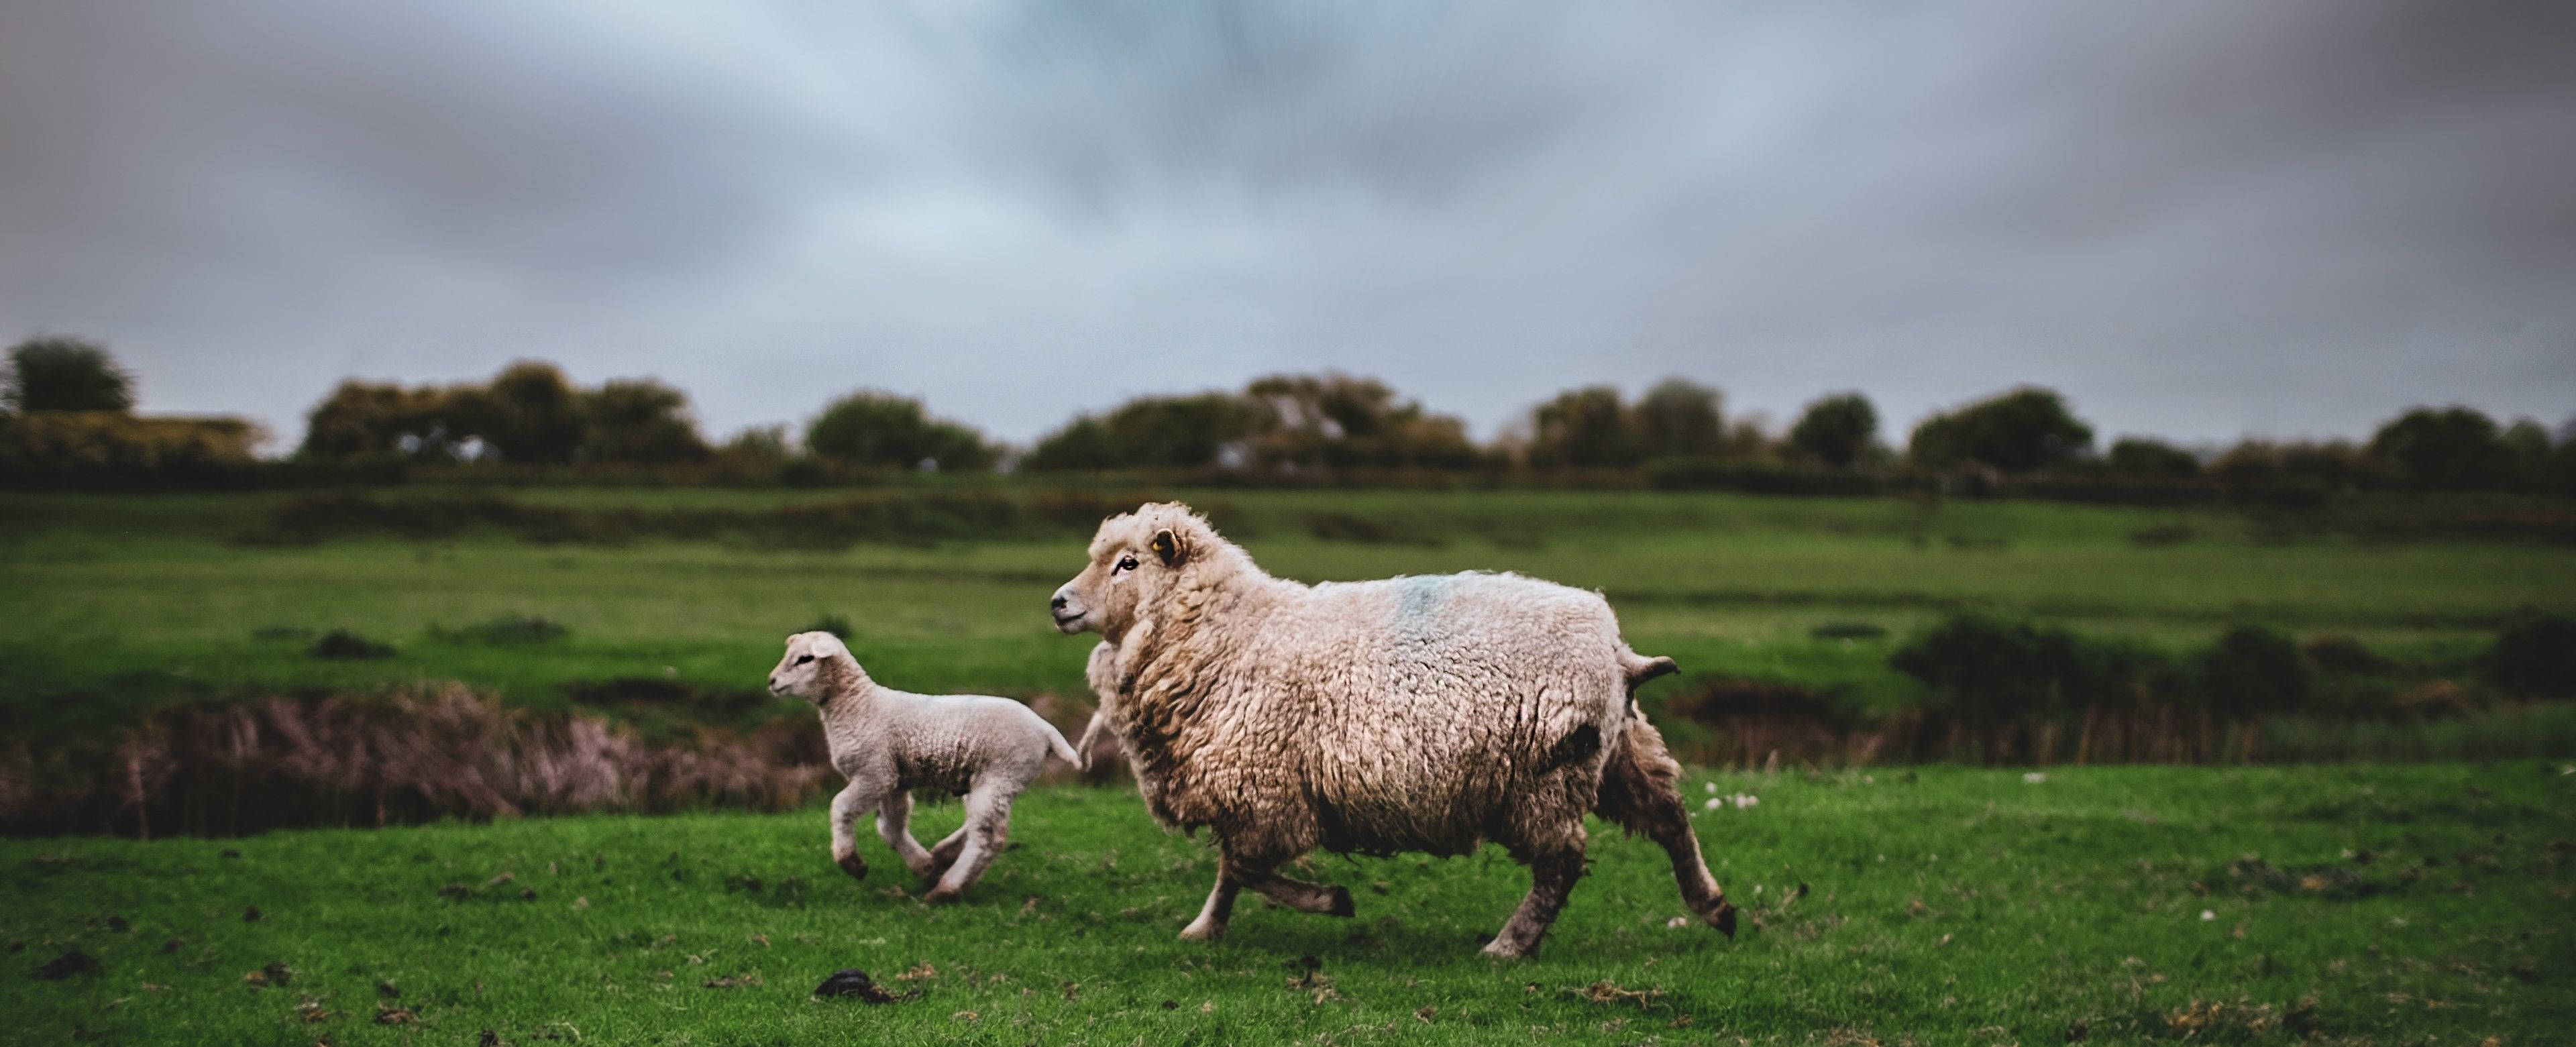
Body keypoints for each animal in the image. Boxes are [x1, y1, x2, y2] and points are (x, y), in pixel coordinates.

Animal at [765, 631, 1081, 902]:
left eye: (805, 659)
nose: (772, 681)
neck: (858, 705)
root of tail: (1046, 729)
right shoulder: (894, 779)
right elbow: (891, 829)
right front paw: (925, 867)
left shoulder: (875, 772)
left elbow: (841, 806)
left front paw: (852, 864)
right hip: (993, 780)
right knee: (981, 823)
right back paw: (943, 856)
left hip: (999, 775)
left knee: (988, 836)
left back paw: (947, 889)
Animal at [1048, 502, 1734, 957]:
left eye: (1128, 563)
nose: (1058, 603)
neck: (1228, 632)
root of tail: (1616, 648)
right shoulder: (1253, 793)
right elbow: (1230, 872)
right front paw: (1204, 928)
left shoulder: (1267, 791)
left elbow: (1243, 867)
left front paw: (1331, 900)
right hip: (1619, 753)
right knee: (1670, 816)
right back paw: (1714, 906)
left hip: (1545, 777)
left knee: (1561, 865)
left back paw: (1509, 945)